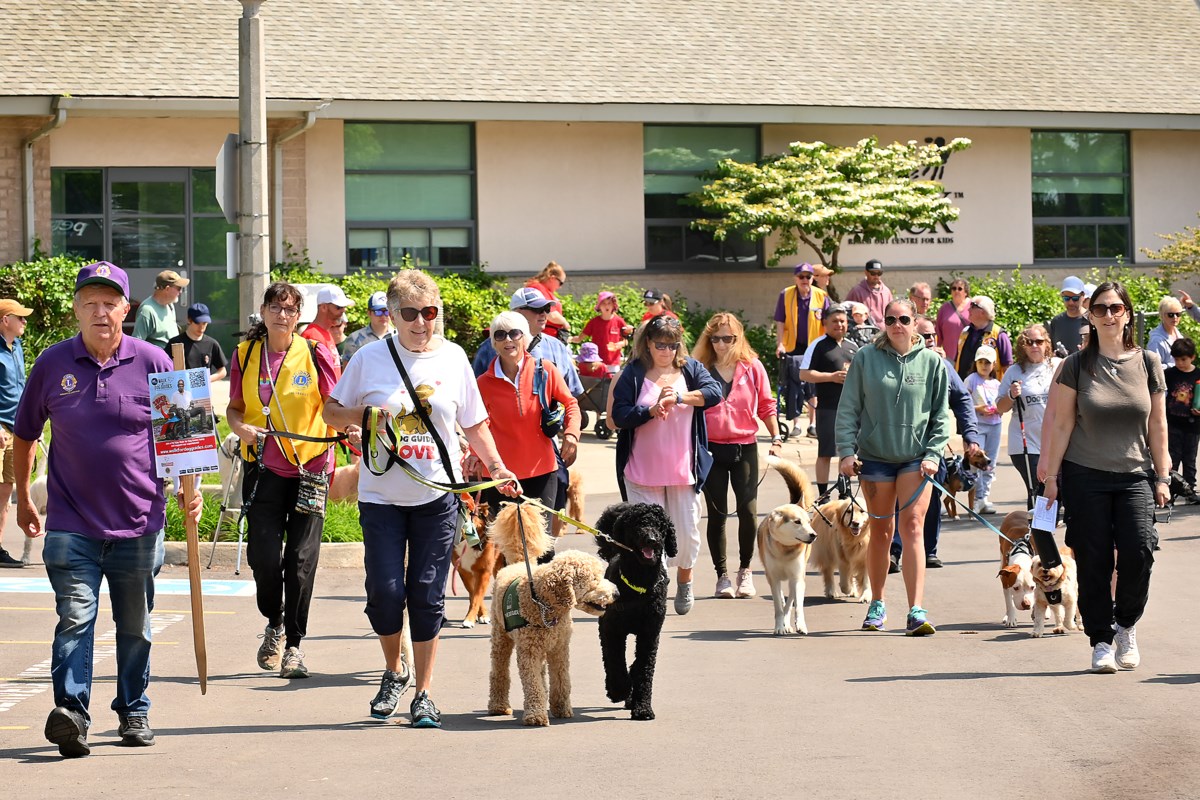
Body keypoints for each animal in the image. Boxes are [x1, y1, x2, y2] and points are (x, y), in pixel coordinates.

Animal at [487, 551, 619, 724]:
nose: (617, 594)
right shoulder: (528, 652)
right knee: (499, 670)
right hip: (501, 637)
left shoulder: (560, 648)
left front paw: (561, 708)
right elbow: (532, 683)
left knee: (542, 672)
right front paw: (535, 715)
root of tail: (518, 563)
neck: (542, 603)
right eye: (594, 579)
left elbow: (562, 680)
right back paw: (498, 706)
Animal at [758, 460, 825, 633]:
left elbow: (797, 605)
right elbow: (778, 606)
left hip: (795, 577)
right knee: (782, 599)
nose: (814, 535)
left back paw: (788, 623)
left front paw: (800, 624)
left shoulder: (797, 577)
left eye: (808, 522)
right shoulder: (773, 577)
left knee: (790, 600)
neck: (785, 549)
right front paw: (778, 627)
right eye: (797, 522)